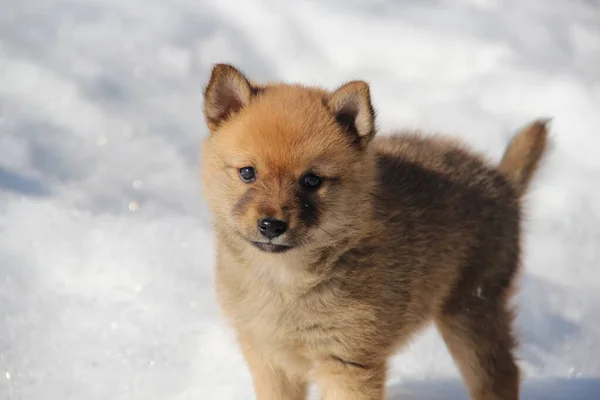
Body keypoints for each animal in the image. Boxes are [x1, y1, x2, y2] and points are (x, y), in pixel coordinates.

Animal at [200, 64, 548, 398]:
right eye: (248, 172)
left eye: (311, 180)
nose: (272, 225)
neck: (286, 281)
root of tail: (502, 182)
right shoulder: (269, 359)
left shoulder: (346, 362)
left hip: (470, 311)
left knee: (501, 376)